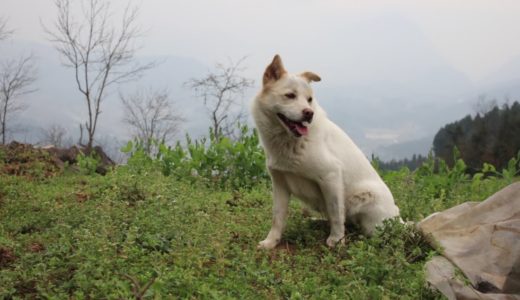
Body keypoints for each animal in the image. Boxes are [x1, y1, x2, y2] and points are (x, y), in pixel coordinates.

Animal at [254, 54, 400, 248]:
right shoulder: (280, 184)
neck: (290, 141)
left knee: (358, 226)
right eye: (290, 96)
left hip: (366, 196)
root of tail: (400, 221)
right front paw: (271, 242)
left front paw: (336, 240)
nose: (309, 113)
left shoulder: (330, 176)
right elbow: (277, 217)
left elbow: (336, 212)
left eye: (309, 99)